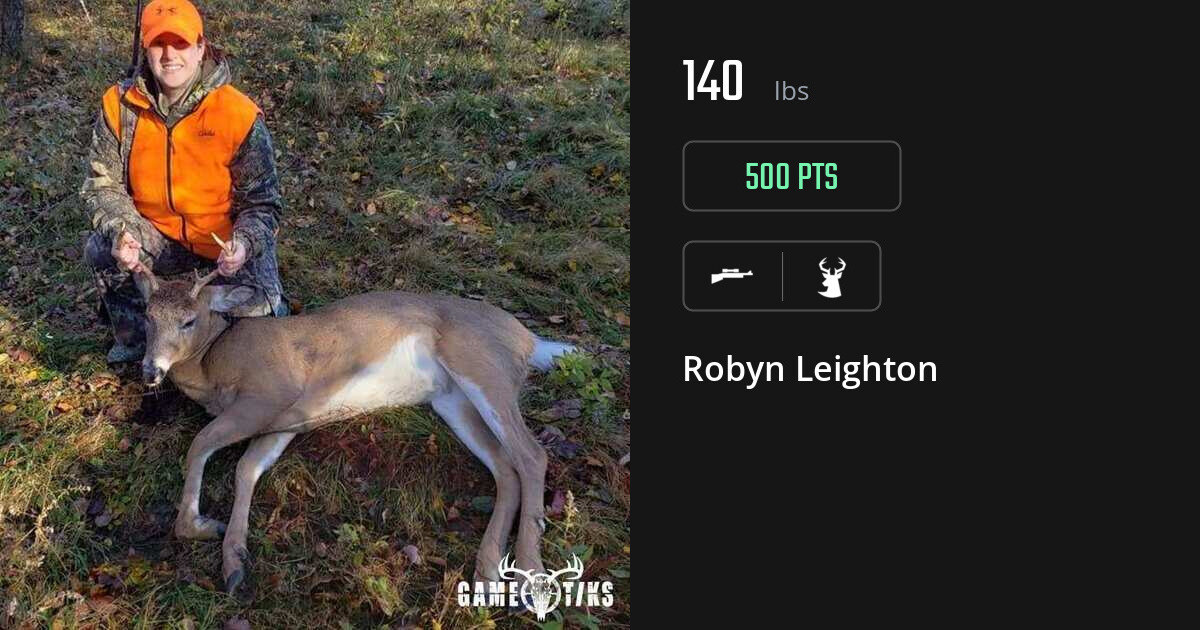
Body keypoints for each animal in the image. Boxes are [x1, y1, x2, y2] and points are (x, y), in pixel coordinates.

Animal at [129, 262, 576, 595]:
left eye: (189, 320)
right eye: (146, 317)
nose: (151, 370)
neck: (214, 364)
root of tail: (529, 339)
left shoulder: (271, 392)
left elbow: (201, 444)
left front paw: (199, 525)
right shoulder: (281, 423)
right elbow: (246, 469)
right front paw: (234, 560)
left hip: (480, 363)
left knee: (532, 455)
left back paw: (531, 577)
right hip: (453, 399)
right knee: (505, 468)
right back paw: (487, 574)